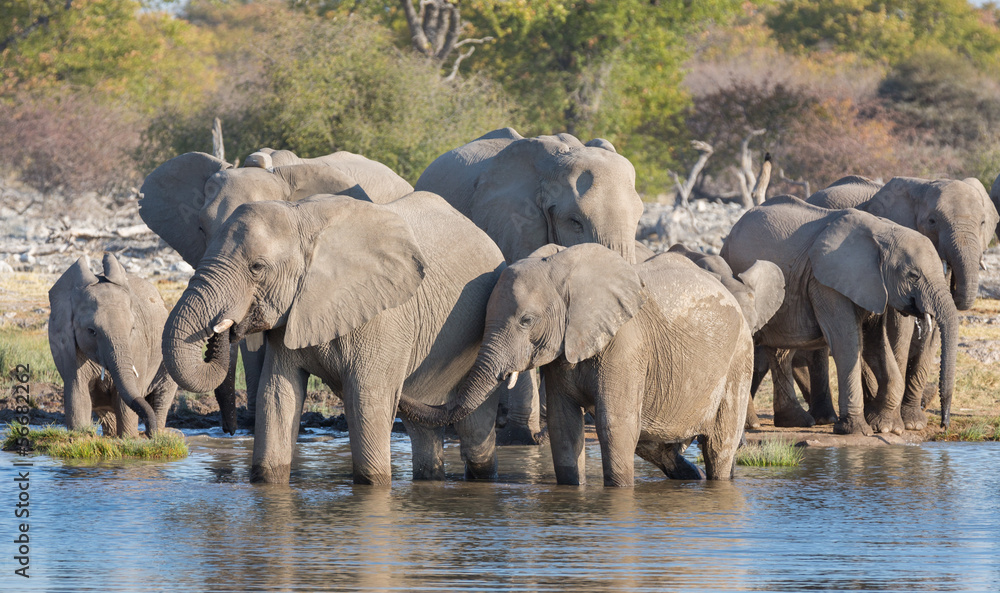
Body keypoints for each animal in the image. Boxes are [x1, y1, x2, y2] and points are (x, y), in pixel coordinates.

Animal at [48, 254, 176, 437]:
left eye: (132, 328)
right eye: (92, 331)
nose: (146, 433)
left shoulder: (137, 345)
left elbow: (124, 399)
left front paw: (130, 439)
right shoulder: (67, 344)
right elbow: (77, 393)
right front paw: (81, 436)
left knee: (162, 396)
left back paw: (158, 434)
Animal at [162, 191, 506, 485]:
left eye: (257, 267)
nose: (224, 327)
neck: (301, 219)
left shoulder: (382, 316)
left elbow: (366, 400)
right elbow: (277, 395)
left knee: (473, 433)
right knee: (424, 431)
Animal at [408, 244, 754, 486]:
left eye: (526, 321)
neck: (561, 270)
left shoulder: (626, 345)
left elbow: (614, 424)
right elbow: (563, 424)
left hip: (739, 358)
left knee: (719, 446)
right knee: (652, 442)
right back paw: (689, 476)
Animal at [721, 195, 958, 435]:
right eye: (913, 275)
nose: (944, 425)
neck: (883, 232)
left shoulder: (872, 286)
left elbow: (876, 345)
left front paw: (886, 427)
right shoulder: (825, 283)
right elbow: (846, 343)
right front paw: (857, 430)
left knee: (779, 351)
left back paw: (796, 421)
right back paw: (751, 424)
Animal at [803, 175, 998, 429]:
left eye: (983, 222)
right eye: (932, 221)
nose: (944, 423)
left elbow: (934, 330)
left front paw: (913, 422)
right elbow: (899, 327)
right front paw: (893, 423)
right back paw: (827, 418)